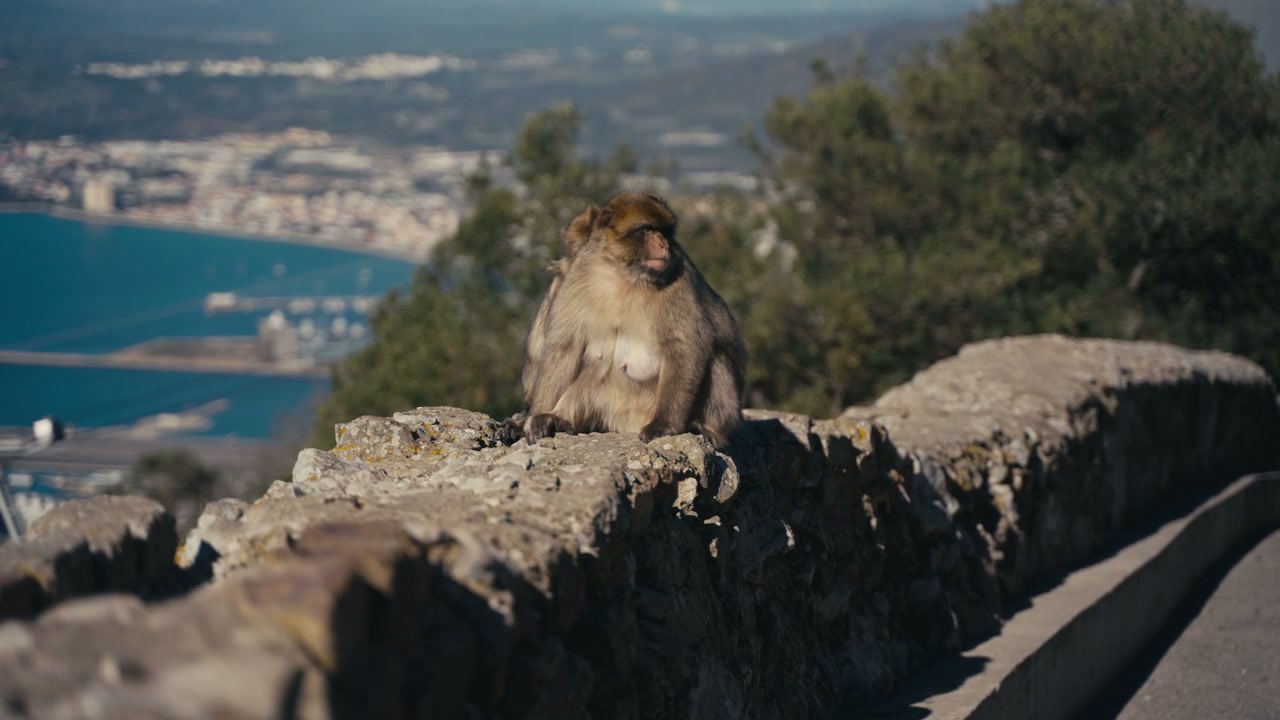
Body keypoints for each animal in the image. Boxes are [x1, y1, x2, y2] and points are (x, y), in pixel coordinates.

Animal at [507, 191, 747, 448]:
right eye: (646, 230)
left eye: (665, 232)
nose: (664, 245)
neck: (624, 277)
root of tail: (629, 423)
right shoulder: (577, 279)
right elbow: (563, 348)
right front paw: (537, 417)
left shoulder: (679, 280)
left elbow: (686, 347)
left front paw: (665, 425)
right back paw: (556, 419)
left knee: (717, 358)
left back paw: (704, 428)